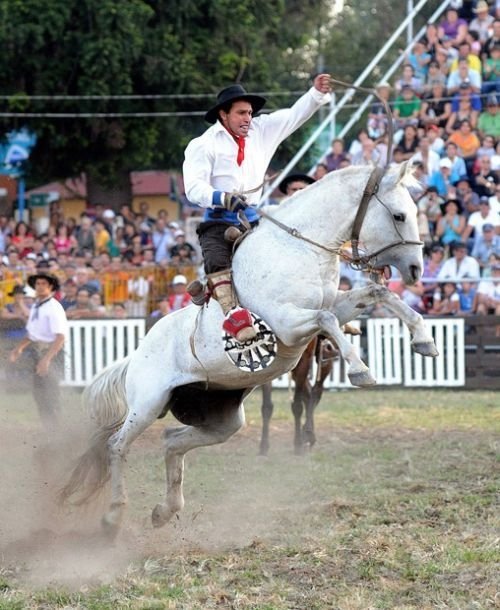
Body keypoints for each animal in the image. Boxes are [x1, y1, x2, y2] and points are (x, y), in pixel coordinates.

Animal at [60, 162, 438, 532]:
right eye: (400, 215)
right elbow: (328, 318)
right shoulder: (287, 324)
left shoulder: (335, 305)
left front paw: (424, 339)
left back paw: (164, 511)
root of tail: (137, 354)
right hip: (147, 405)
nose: (416, 269)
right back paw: (113, 516)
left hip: (222, 420)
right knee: (116, 446)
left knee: (171, 441)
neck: (298, 251)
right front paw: (361, 370)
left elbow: (376, 294)